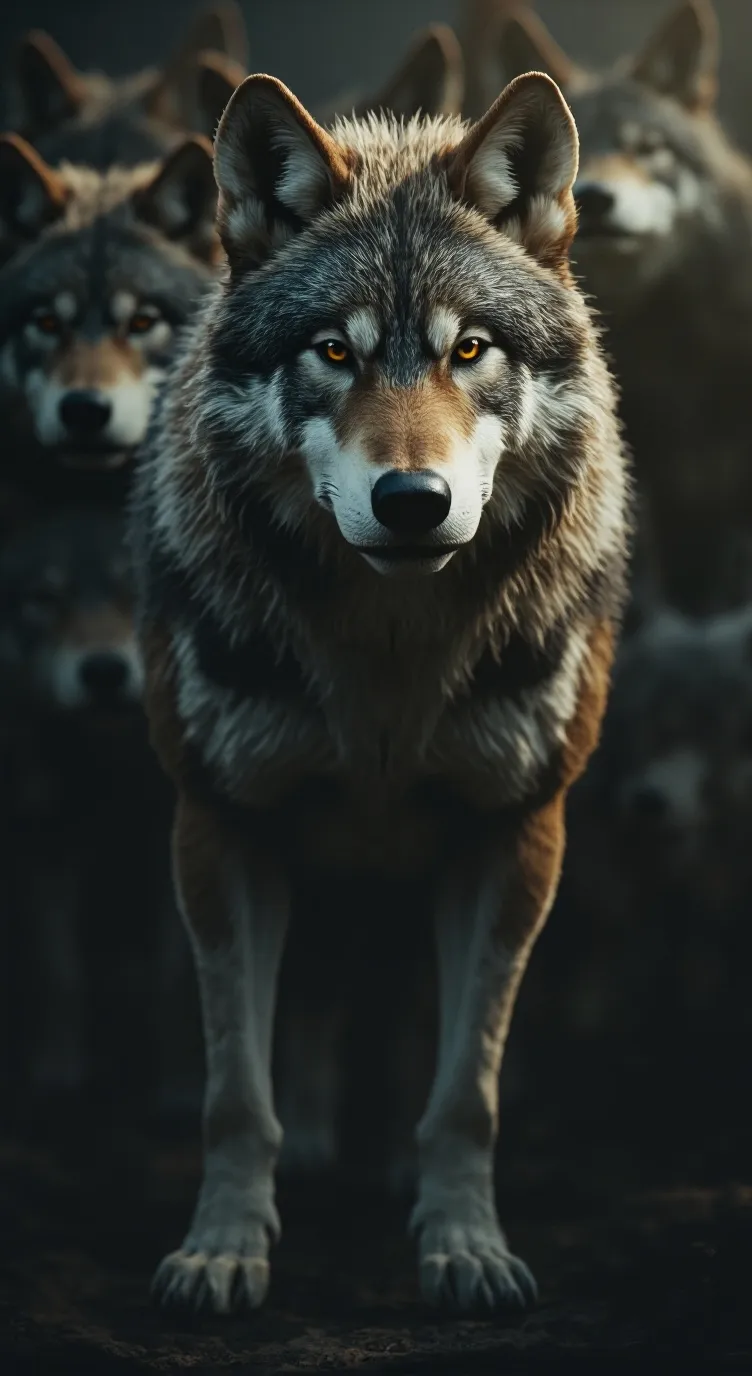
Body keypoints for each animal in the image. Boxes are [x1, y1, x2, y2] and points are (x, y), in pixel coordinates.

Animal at [132, 70, 628, 1313]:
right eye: (333, 351)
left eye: (469, 349)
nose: (412, 499)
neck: (388, 663)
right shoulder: (220, 825)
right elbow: (233, 1091)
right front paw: (223, 1247)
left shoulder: (517, 832)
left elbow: (466, 1093)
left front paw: (464, 1247)